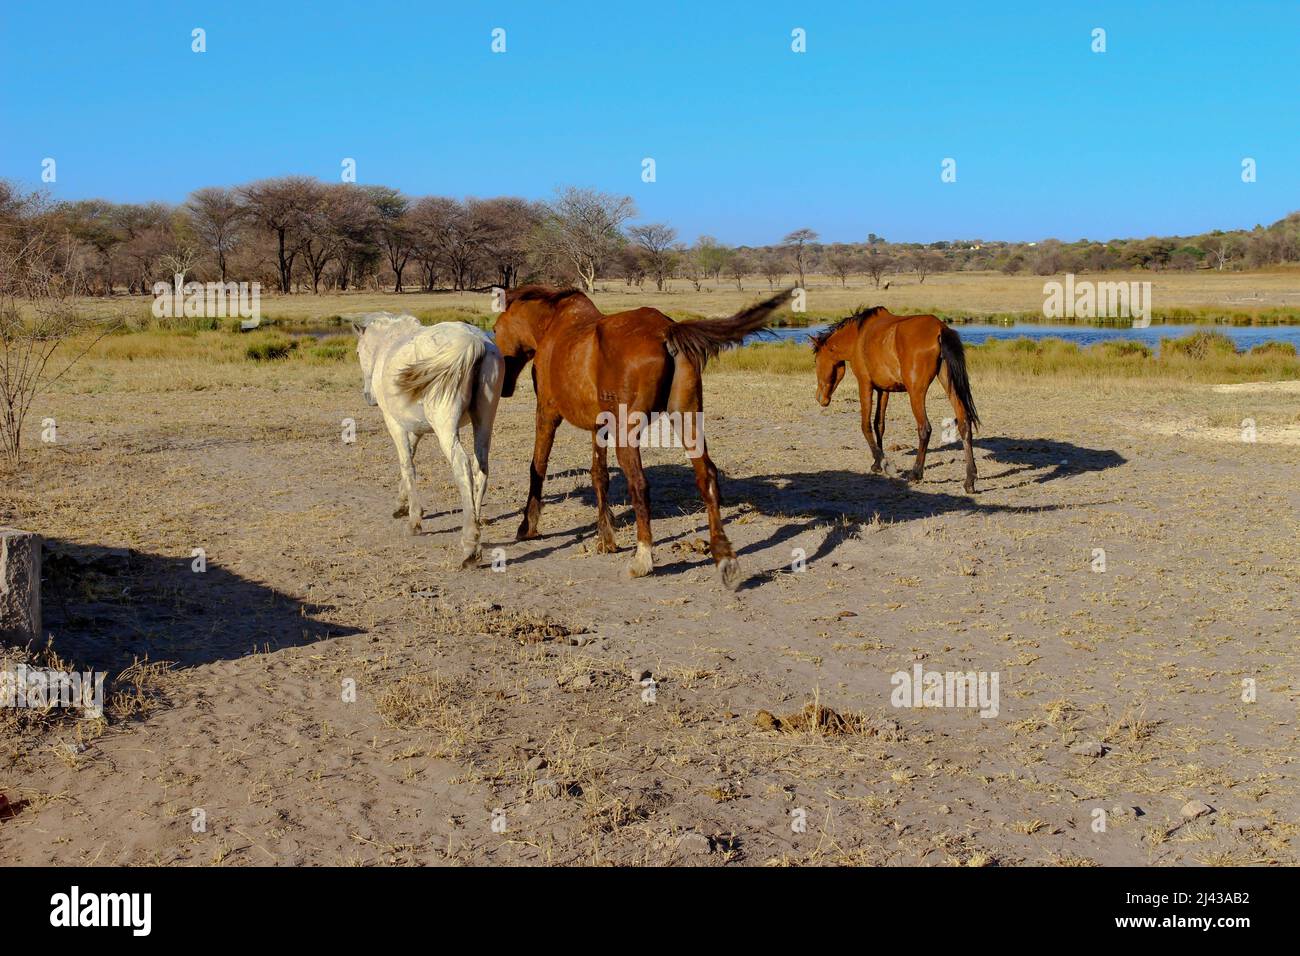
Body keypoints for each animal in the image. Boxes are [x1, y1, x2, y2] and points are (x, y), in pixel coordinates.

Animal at [353, 314, 504, 567]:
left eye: (357, 352)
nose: (368, 397)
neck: (388, 345)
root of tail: (475, 342)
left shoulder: (394, 424)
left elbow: (407, 464)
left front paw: (414, 519)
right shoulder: (415, 429)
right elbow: (410, 460)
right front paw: (401, 504)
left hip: (445, 428)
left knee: (462, 465)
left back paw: (470, 545)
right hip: (484, 422)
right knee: (481, 466)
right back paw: (475, 517)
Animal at [491, 283, 785, 587]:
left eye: (494, 329)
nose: (503, 383)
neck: (553, 326)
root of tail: (666, 330)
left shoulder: (547, 415)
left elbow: (537, 467)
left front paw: (528, 526)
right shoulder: (599, 427)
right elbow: (599, 476)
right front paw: (606, 539)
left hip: (629, 434)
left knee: (640, 485)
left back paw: (642, 558)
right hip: (687, 419)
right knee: (707, 477)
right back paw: (723, 556)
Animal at [806, 308, 977, 494]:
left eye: (815, 361)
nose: (820, 398)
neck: (858, 336)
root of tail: (940, 328)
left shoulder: (865, 385)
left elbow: (865, 425)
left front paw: (883, 463)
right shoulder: (883, 390)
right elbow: (879, 424)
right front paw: (876, 463)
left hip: (916, 393)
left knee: (924, 429)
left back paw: (916, 473)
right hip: (950, 386)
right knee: (964, 424)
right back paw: (970, 480)